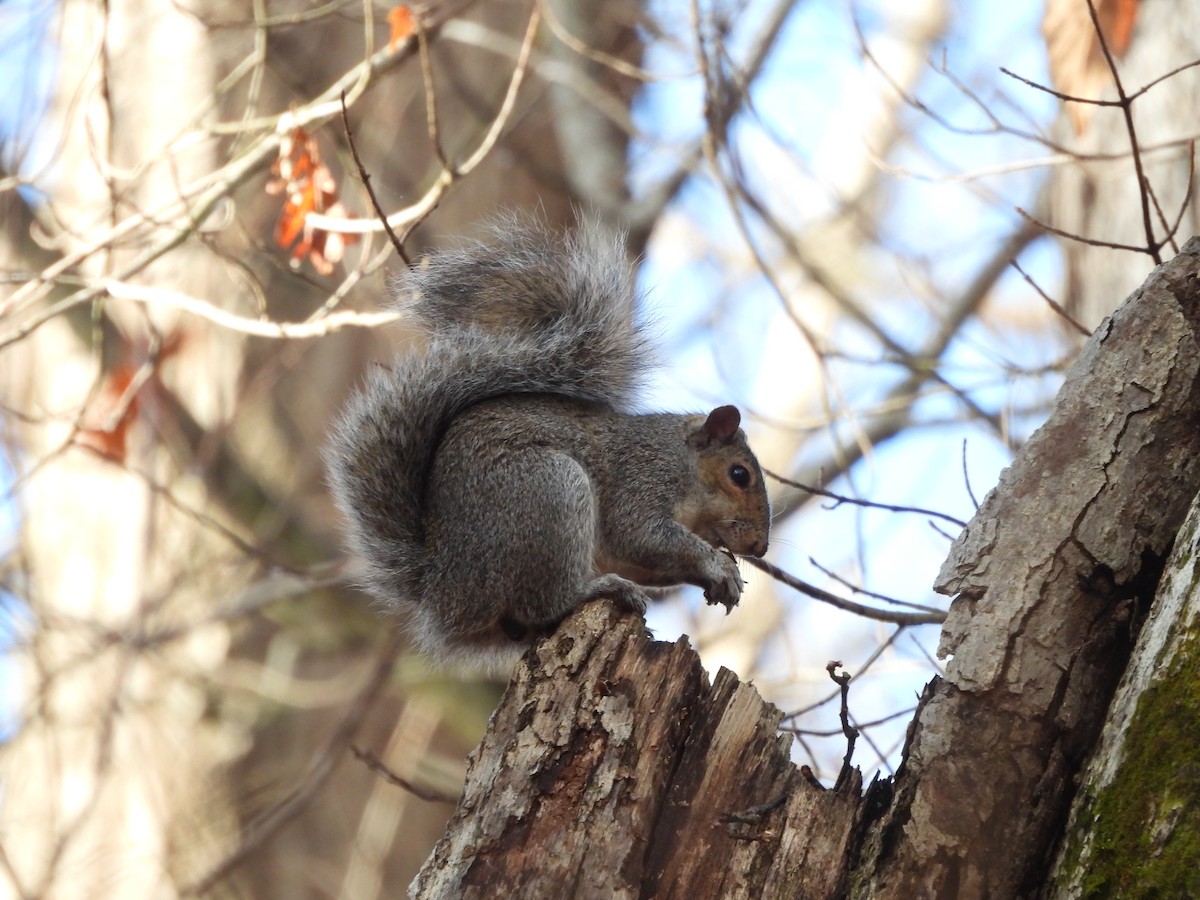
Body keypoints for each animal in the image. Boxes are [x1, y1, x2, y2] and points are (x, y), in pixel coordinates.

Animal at [325, 222, 771, 670]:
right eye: (739, 474)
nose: (760, 547)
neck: (682, 464)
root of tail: (446, 591)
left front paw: (722, 576)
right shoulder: (641, 478)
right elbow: (642, 535)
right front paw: (718, 565)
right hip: (549, 492)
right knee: (545, 602)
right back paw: (599, 589)